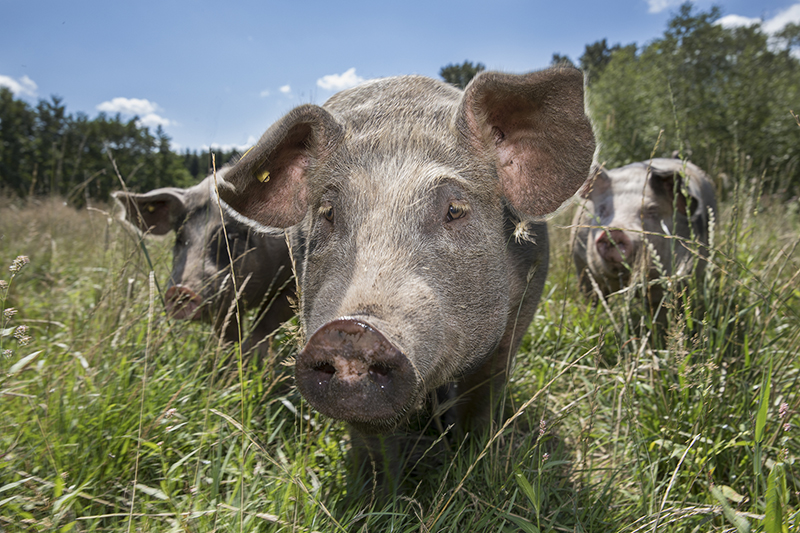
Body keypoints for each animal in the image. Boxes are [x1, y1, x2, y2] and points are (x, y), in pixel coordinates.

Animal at [114, 168, 296, 354]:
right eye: (180, 238)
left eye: (231, 236)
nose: (180, 289)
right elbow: (227, 335)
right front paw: (229, 358)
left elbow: (266, 323)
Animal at [217, 68, 592, 480]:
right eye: (329, 213)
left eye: (455, 209)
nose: (352, 329)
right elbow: (374, 443)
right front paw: (377, 491)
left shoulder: (520, 314)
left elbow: (483, 397)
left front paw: (477, 463)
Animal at [568, 158, 720, 304]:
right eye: (602, 210)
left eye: (652, 210)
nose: (615, 231)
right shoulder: (582, 266)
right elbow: (593, 298)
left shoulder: (680, 274)